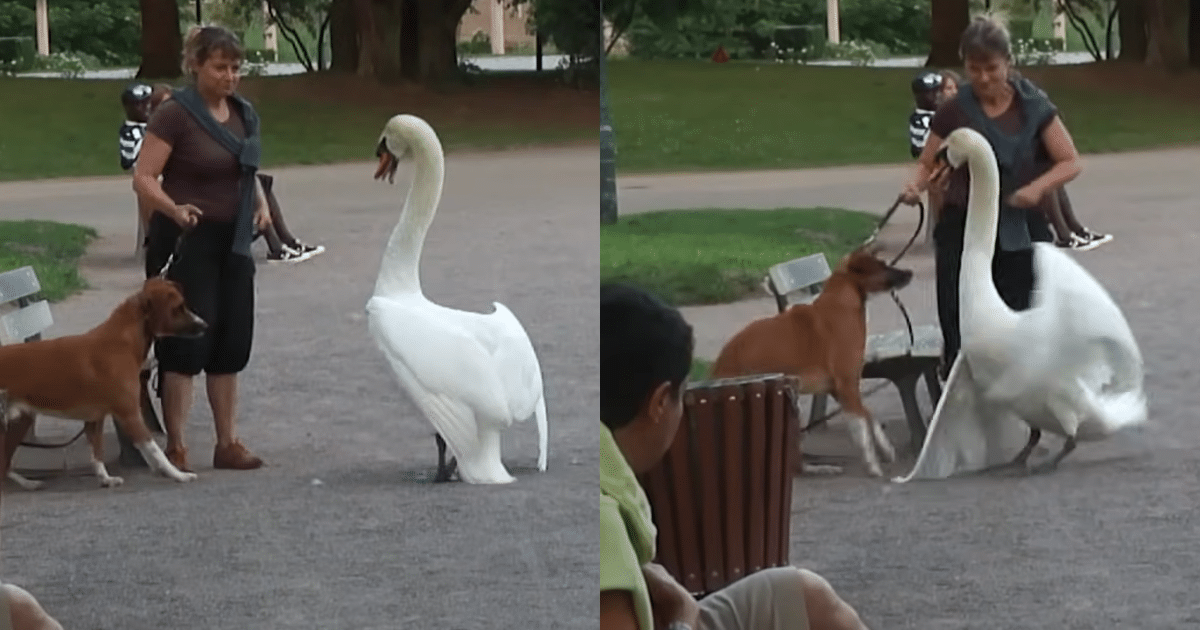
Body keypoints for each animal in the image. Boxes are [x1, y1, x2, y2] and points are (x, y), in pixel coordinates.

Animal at [1, 277, 206, 489]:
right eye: (178, 308)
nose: (205, 325)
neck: (122, 342)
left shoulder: (95, 420)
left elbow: (97, 454)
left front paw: (105, 479)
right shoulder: (130, 415)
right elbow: (156, 452)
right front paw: (179, 475)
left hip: (20, 422)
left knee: (5, 464)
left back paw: (28, 483)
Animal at [705, 246, 912, 477]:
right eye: (882, 266)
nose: (910, 273)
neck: (843, 300)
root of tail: (719, 367)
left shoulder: (839, 390)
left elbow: (869, 417)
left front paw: (885, 449)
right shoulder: (847, 385)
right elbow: (861, 427)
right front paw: (873, 464)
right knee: (793, 465)